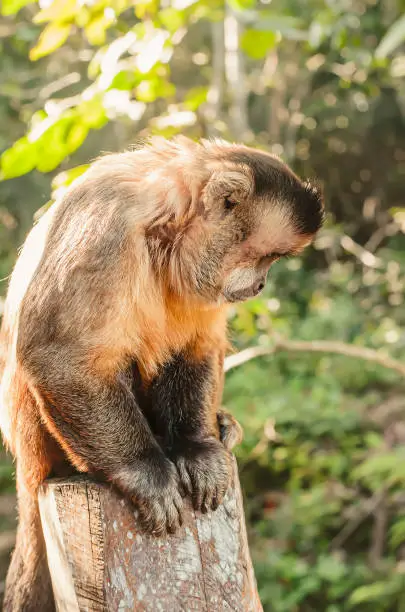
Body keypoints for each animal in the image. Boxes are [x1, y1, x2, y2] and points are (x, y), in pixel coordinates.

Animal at [0, 136, 322, 608]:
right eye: (266, 257)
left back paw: (219, 428)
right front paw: (143, 471)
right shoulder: (104, 229)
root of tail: (27, 463)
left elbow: (197, 346)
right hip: (42, 440)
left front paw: (196, 448)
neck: (164, 229)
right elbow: (59, 357)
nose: (261, 284)